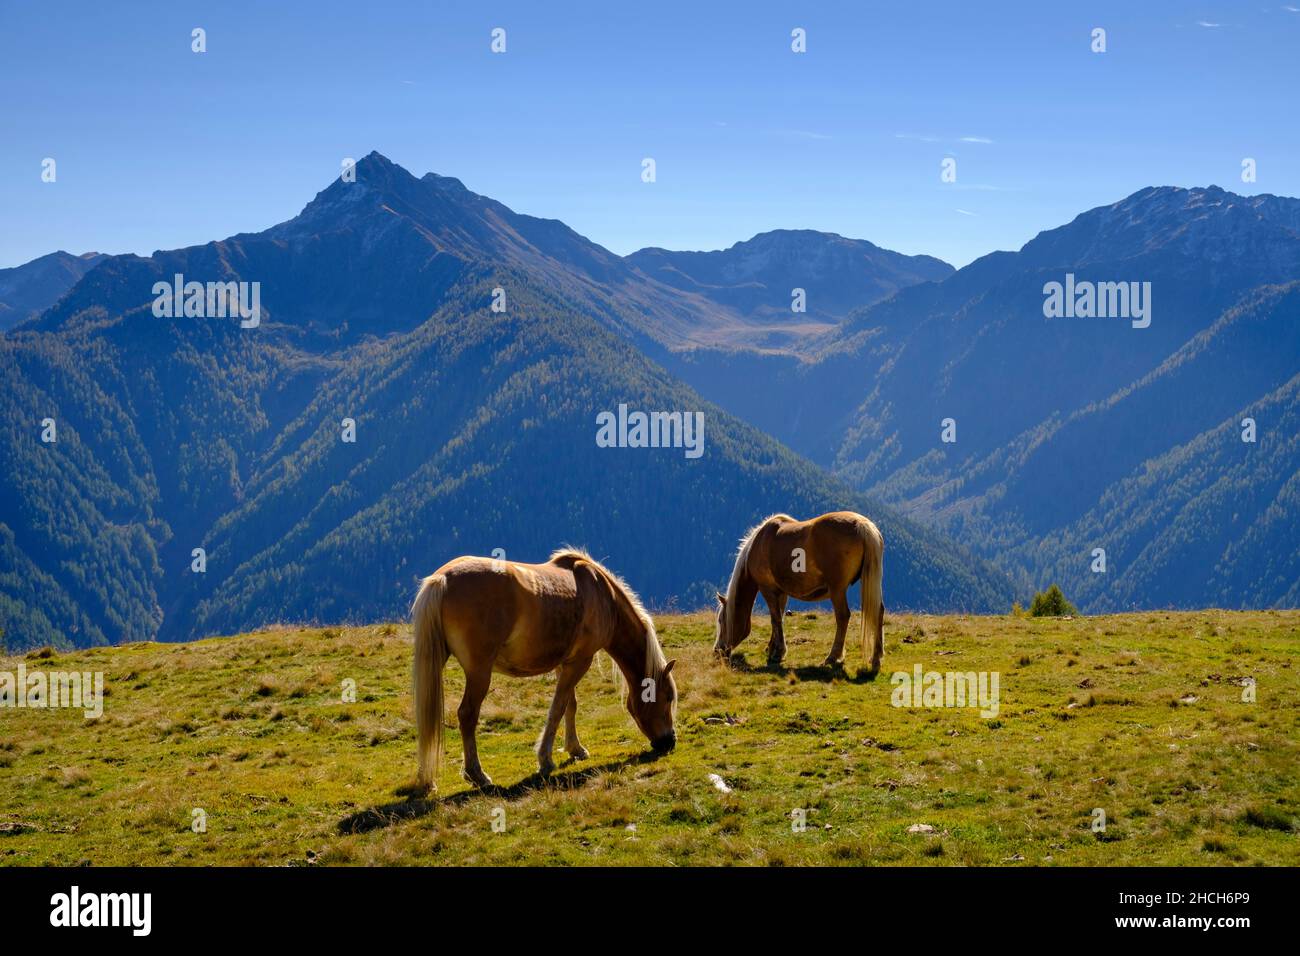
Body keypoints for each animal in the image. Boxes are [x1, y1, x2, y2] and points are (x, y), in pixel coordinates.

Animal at [411, 548, 677, 790]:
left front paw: (575, 749)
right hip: (479, 672)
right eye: (667, 697)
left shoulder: (565, 663)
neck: (603, 595)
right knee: (467, 714)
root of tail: (442, 578)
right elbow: (557, 708)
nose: (669, 742)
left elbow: (570, 705)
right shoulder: (581, 661)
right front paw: (546, 760)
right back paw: (477, 775)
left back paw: (427, 779)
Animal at [713, 511, 884, 673]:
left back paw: (832, 657)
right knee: (878, 611)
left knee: (843, 616)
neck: (758, 543)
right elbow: (779, 617)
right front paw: (772, 648)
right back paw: (876, 658)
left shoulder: (767, 589)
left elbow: (775, 618)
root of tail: (862, 524)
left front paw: (778, 652)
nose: (717, 651)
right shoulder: (781, 592)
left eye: (721, 620)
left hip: (837, 590)